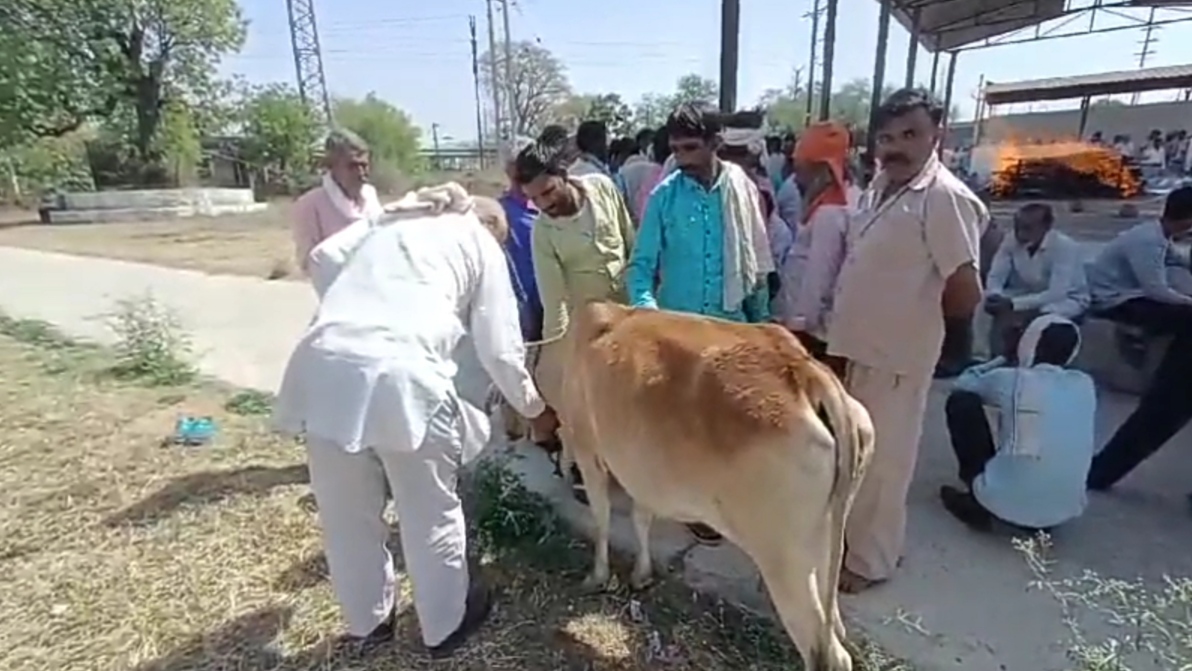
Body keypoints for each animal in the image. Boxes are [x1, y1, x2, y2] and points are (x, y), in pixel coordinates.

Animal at [557, 302, 877, 671]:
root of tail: (803, 369)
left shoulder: (589, 448)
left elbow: (602, 516)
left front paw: (596, 577)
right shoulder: (643, 472)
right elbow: (641, 518)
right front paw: (642, 574)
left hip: (784, 559)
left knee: (827, 654)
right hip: (825, 544)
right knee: (834, 622)